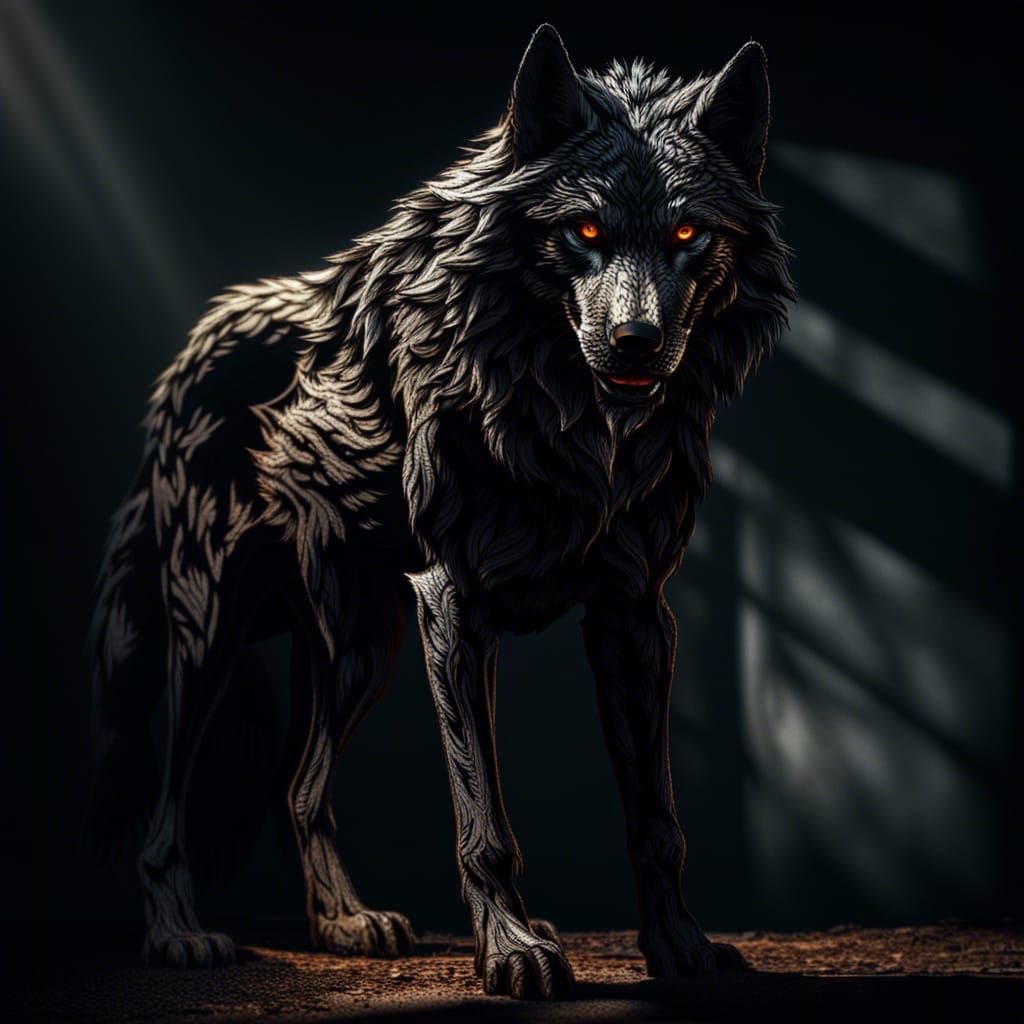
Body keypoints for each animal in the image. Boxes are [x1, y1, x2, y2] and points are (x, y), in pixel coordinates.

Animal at [89, 25, 794, 998]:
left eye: (689, 234)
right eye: (584, 231)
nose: (637, 346)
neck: (570, 425)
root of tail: (186, 352)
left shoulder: (633, 614)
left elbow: (657, 820)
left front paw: (678, 947)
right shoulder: (451, 601)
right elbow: (483, 820)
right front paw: (514, 952)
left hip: (359, 653)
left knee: (299, 788)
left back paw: (344, 924)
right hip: (211, 631)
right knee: (168, 799)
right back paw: (179, 933)